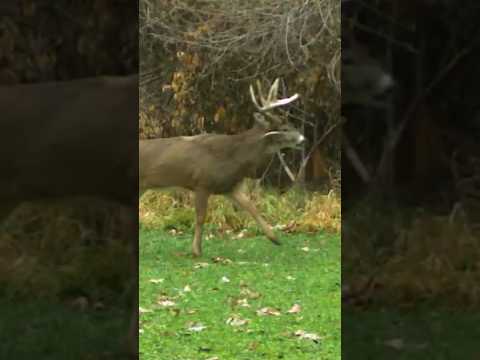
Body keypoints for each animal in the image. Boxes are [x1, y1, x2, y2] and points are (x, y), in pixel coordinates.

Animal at [140, 77, 304, 258]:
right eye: (284, 128)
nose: (302, 139)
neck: (236, 157)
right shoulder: (202, 183)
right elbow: (200, 217)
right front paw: (196, 250)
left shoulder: (230, 187)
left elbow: (252, 207)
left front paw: (275, 238)